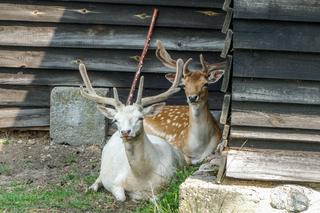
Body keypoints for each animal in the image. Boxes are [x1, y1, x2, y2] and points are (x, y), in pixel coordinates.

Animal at [77, 59, 185, 201]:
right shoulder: (116, 182)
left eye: (140, 118)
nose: (125, 132)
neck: (142, 177)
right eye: (115, 120)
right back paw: (92, 187)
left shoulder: (171, 180)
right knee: (99, 176)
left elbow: (154, 198)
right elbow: (121, 197)